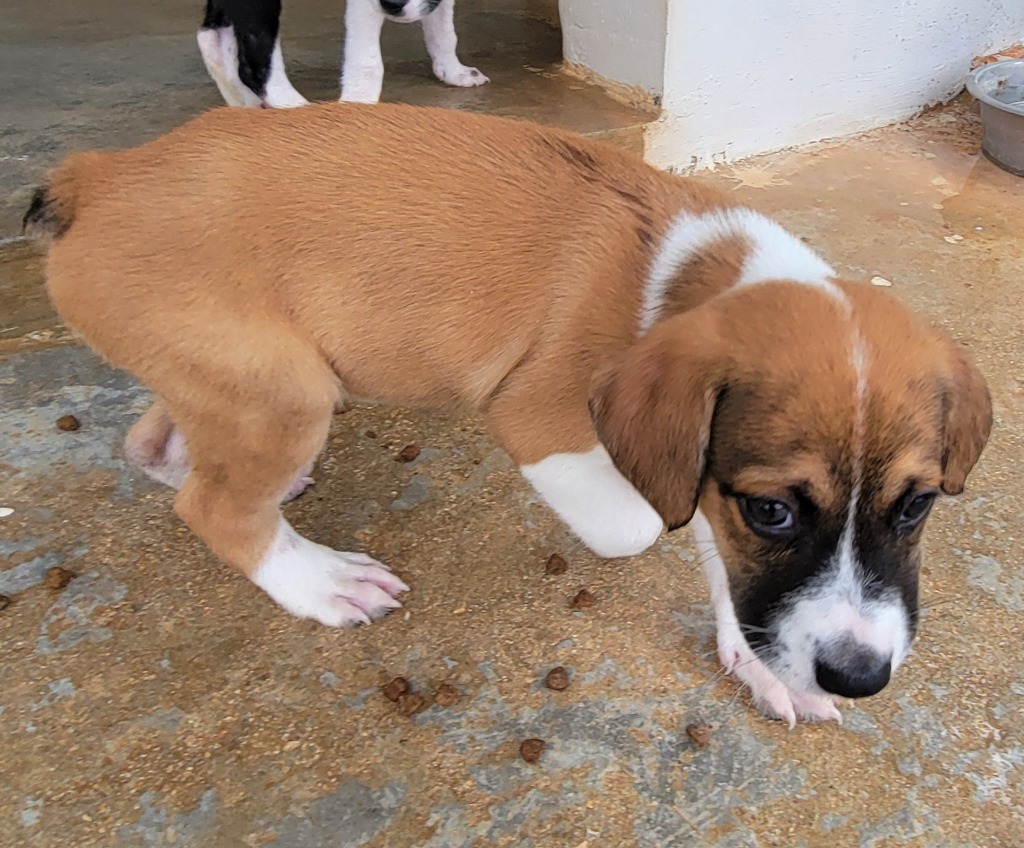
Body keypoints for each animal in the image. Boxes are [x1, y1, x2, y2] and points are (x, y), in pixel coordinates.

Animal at [22, 104, 983, 721]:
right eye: (775, 511)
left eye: (917, 506)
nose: (857, 676)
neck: (693, 271)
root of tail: (97, 177)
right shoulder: (548, 423)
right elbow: (647, 525)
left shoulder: (702, 469)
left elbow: (710, 547)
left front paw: (759, 662)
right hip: (285, 389)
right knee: (215, 506)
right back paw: (318, 580)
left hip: (236, 377)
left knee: (158, 446)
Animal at [198, 0, 491, 107]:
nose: (392, 5)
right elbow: (367, 62)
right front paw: (356, 106)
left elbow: (442, 27)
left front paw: (452, 70)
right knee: (256, 66)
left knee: (211, 39)